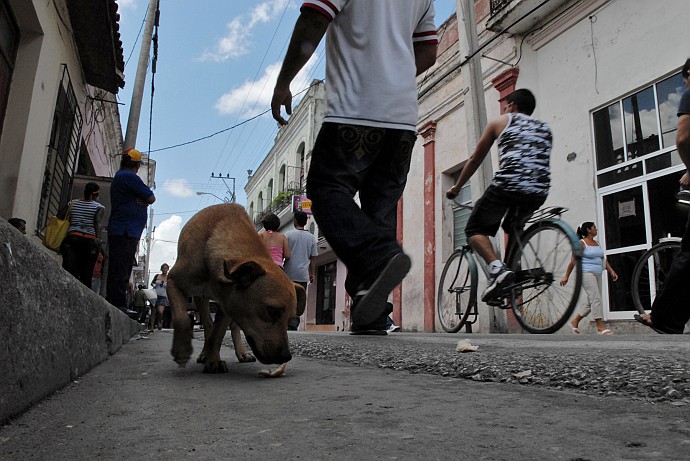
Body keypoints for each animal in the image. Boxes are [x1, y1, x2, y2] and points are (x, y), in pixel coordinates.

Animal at [165, 203, 306, 372]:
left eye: (290, 319)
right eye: (271, 311)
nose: (286, 356)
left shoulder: (228, 302)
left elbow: (219, 333)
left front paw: (213, 359)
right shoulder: (172, 281)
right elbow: (182, 318)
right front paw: (182, 350)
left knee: (232, 327)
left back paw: (241, 352)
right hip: (201, 299)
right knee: (207, 323)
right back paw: (204, 351)